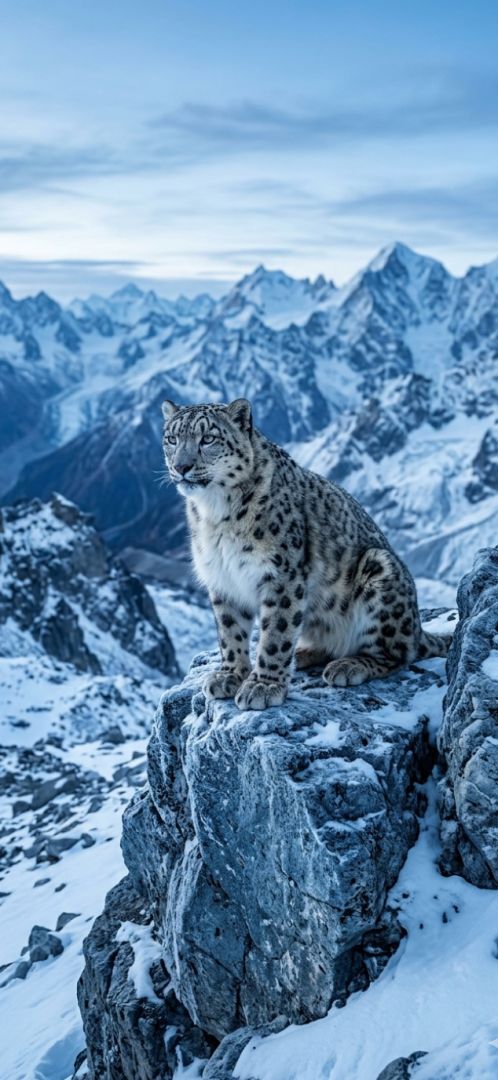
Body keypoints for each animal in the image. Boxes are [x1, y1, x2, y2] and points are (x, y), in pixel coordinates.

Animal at [162, 397, 452, 711]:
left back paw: (348, 666)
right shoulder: (222, 578)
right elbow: (230, 630)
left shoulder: (280, 575)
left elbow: (276, 632)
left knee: (397, 652)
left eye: (208, 438)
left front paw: (263, 686)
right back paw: (302, 655)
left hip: (380, 570)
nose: (181, 466)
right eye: (172, 439)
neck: (215, 514)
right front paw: (231, 675)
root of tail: (417, 625)